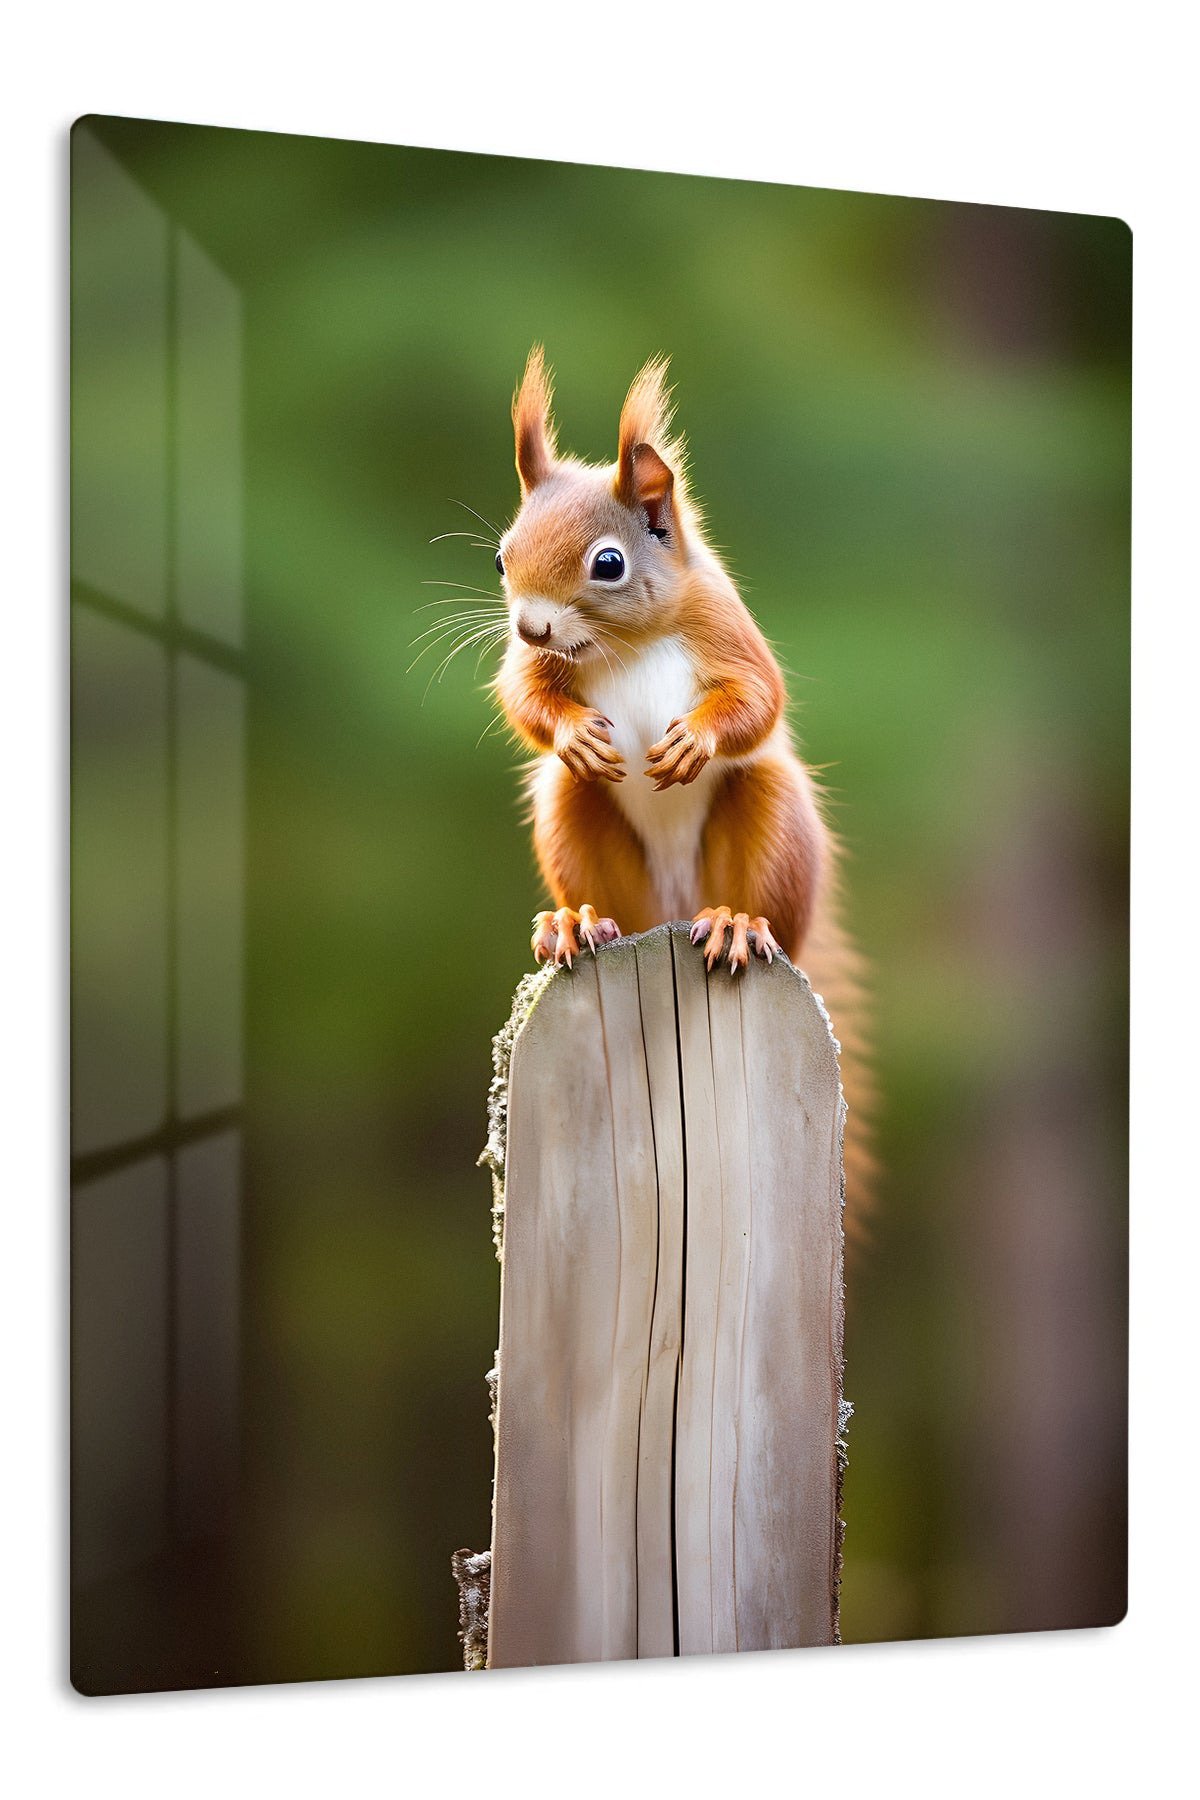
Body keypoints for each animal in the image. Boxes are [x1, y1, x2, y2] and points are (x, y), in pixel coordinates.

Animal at [491, 347, 873, 1219]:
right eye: (501, 555)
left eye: (608, 563)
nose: (531, 624)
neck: (624, 643)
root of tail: (668, 913)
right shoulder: (535, 669)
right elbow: (522, 694)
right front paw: (573, 734)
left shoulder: (724, 625)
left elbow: (760, 699)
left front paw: (692, 742)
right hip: (579, 821)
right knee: (595, 875)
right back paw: (576, 924)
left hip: (769, 822)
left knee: (763, 904)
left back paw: (735, 923)